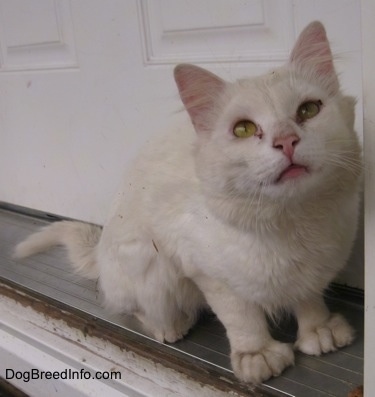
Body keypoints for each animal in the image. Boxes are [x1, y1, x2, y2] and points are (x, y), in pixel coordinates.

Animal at [13, 22, 362, 384]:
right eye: (244, 129)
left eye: (308, 110)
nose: (286, 141)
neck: (293, 221)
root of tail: (100, 252)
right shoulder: (209, 274)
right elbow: (242, 319)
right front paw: (258, 355)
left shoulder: (311, 272)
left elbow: (308, 298)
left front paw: (319, 330)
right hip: (150, 269)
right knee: (135, 309)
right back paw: (172, 327)